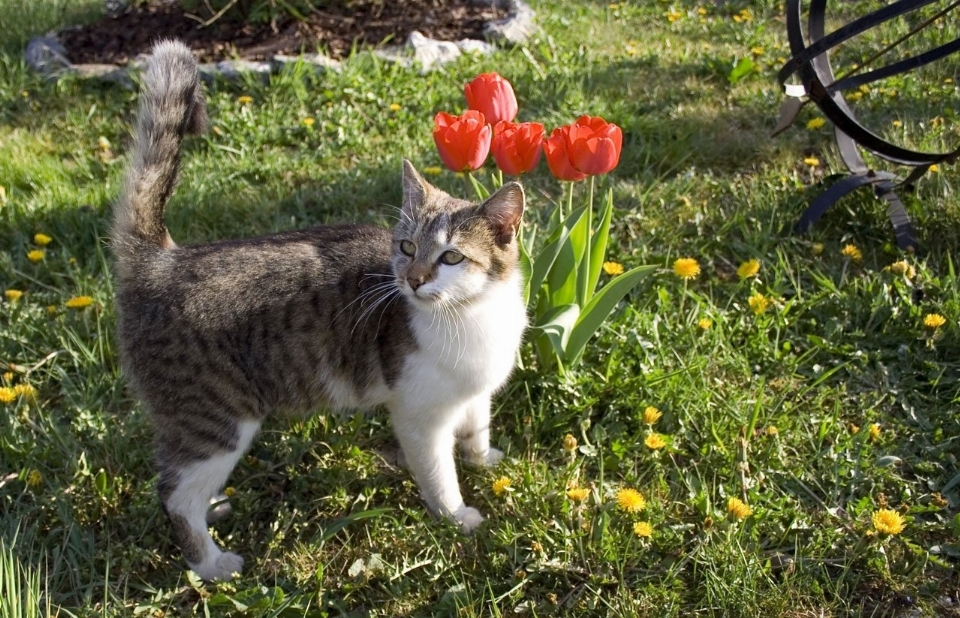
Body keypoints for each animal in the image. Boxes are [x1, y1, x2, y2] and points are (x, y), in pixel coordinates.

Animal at [115, 39, 528, 584]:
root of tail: (163, 260)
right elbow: (440, 475)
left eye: (452, 257)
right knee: (173, 493)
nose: (413, 279)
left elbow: (478, 428)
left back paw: (214, 506)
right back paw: (211, 563)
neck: (471, 316)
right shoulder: (420, 417)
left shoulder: (475, 393)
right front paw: (456, 516)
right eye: (407, 247)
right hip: (213, 419)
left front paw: (485, 459)